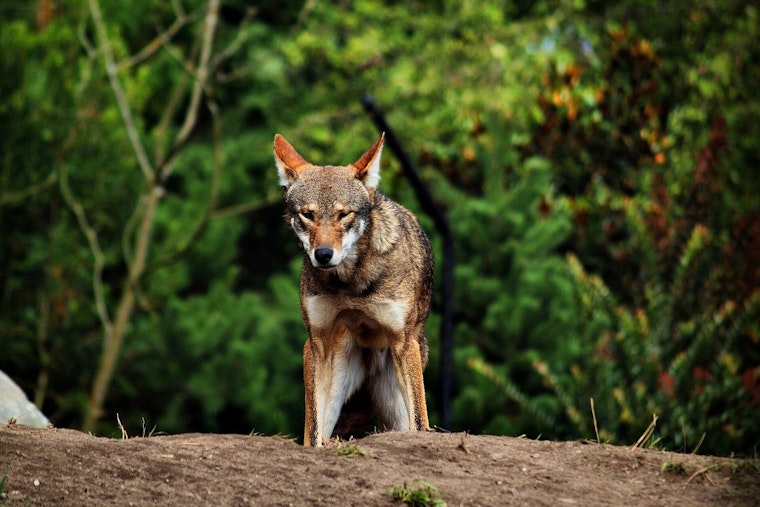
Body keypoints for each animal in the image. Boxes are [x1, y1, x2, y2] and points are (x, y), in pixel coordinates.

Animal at [273, 133, 434, 447]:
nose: (323, 255)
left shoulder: (403, 340)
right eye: (307, 215)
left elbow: (421, 425)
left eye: (343, 214)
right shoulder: (316, 341)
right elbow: (313, 433)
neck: (351, 283)